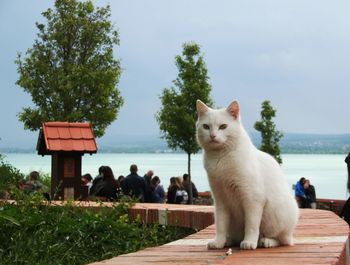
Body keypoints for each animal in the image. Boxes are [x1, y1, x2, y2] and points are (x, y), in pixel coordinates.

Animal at [196, 99, 300, 250]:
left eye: (223, 126)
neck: (220, 158)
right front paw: (218, 242)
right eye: (206, 126)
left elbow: (251, 225)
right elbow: (220, 225)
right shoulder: (220, 200)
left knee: (282, 239)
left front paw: (249, 242)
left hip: (275, 217)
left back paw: (265, 241)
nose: (212, 136)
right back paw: (228, 240)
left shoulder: (252, 199)